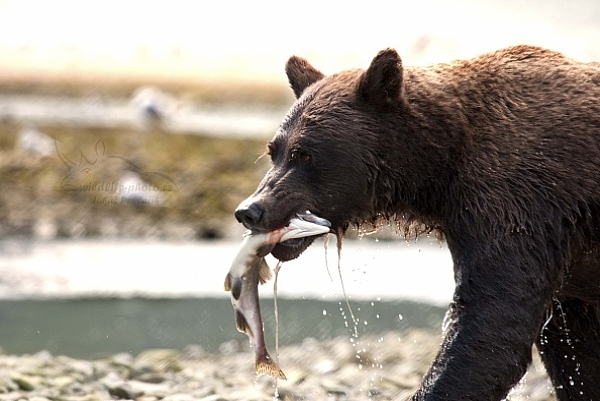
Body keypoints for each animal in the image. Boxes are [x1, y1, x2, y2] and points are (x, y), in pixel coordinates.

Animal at [233, 45, 600, 398]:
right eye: (274, 151)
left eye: (304, 154)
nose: (250, 210)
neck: (440, 169)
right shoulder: (565, 268)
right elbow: (574, 355)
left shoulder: (518, 201)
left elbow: (492, 325)